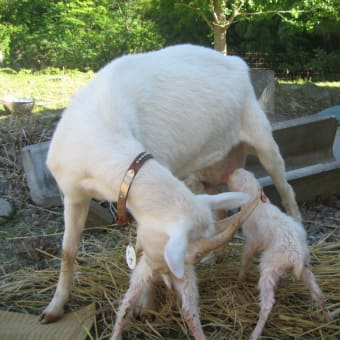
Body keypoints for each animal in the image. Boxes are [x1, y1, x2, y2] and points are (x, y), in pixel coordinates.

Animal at [41, 45, 300, 338]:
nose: (172, 283)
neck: (99, 129)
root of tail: (235, 60)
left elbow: (138, 249)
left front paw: (145, 305)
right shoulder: (73, 194)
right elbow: (68, 251)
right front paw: (55, 307)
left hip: (261, 136)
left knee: (286, 189)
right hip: (212, 167)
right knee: (221, 204)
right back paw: (213, 257)